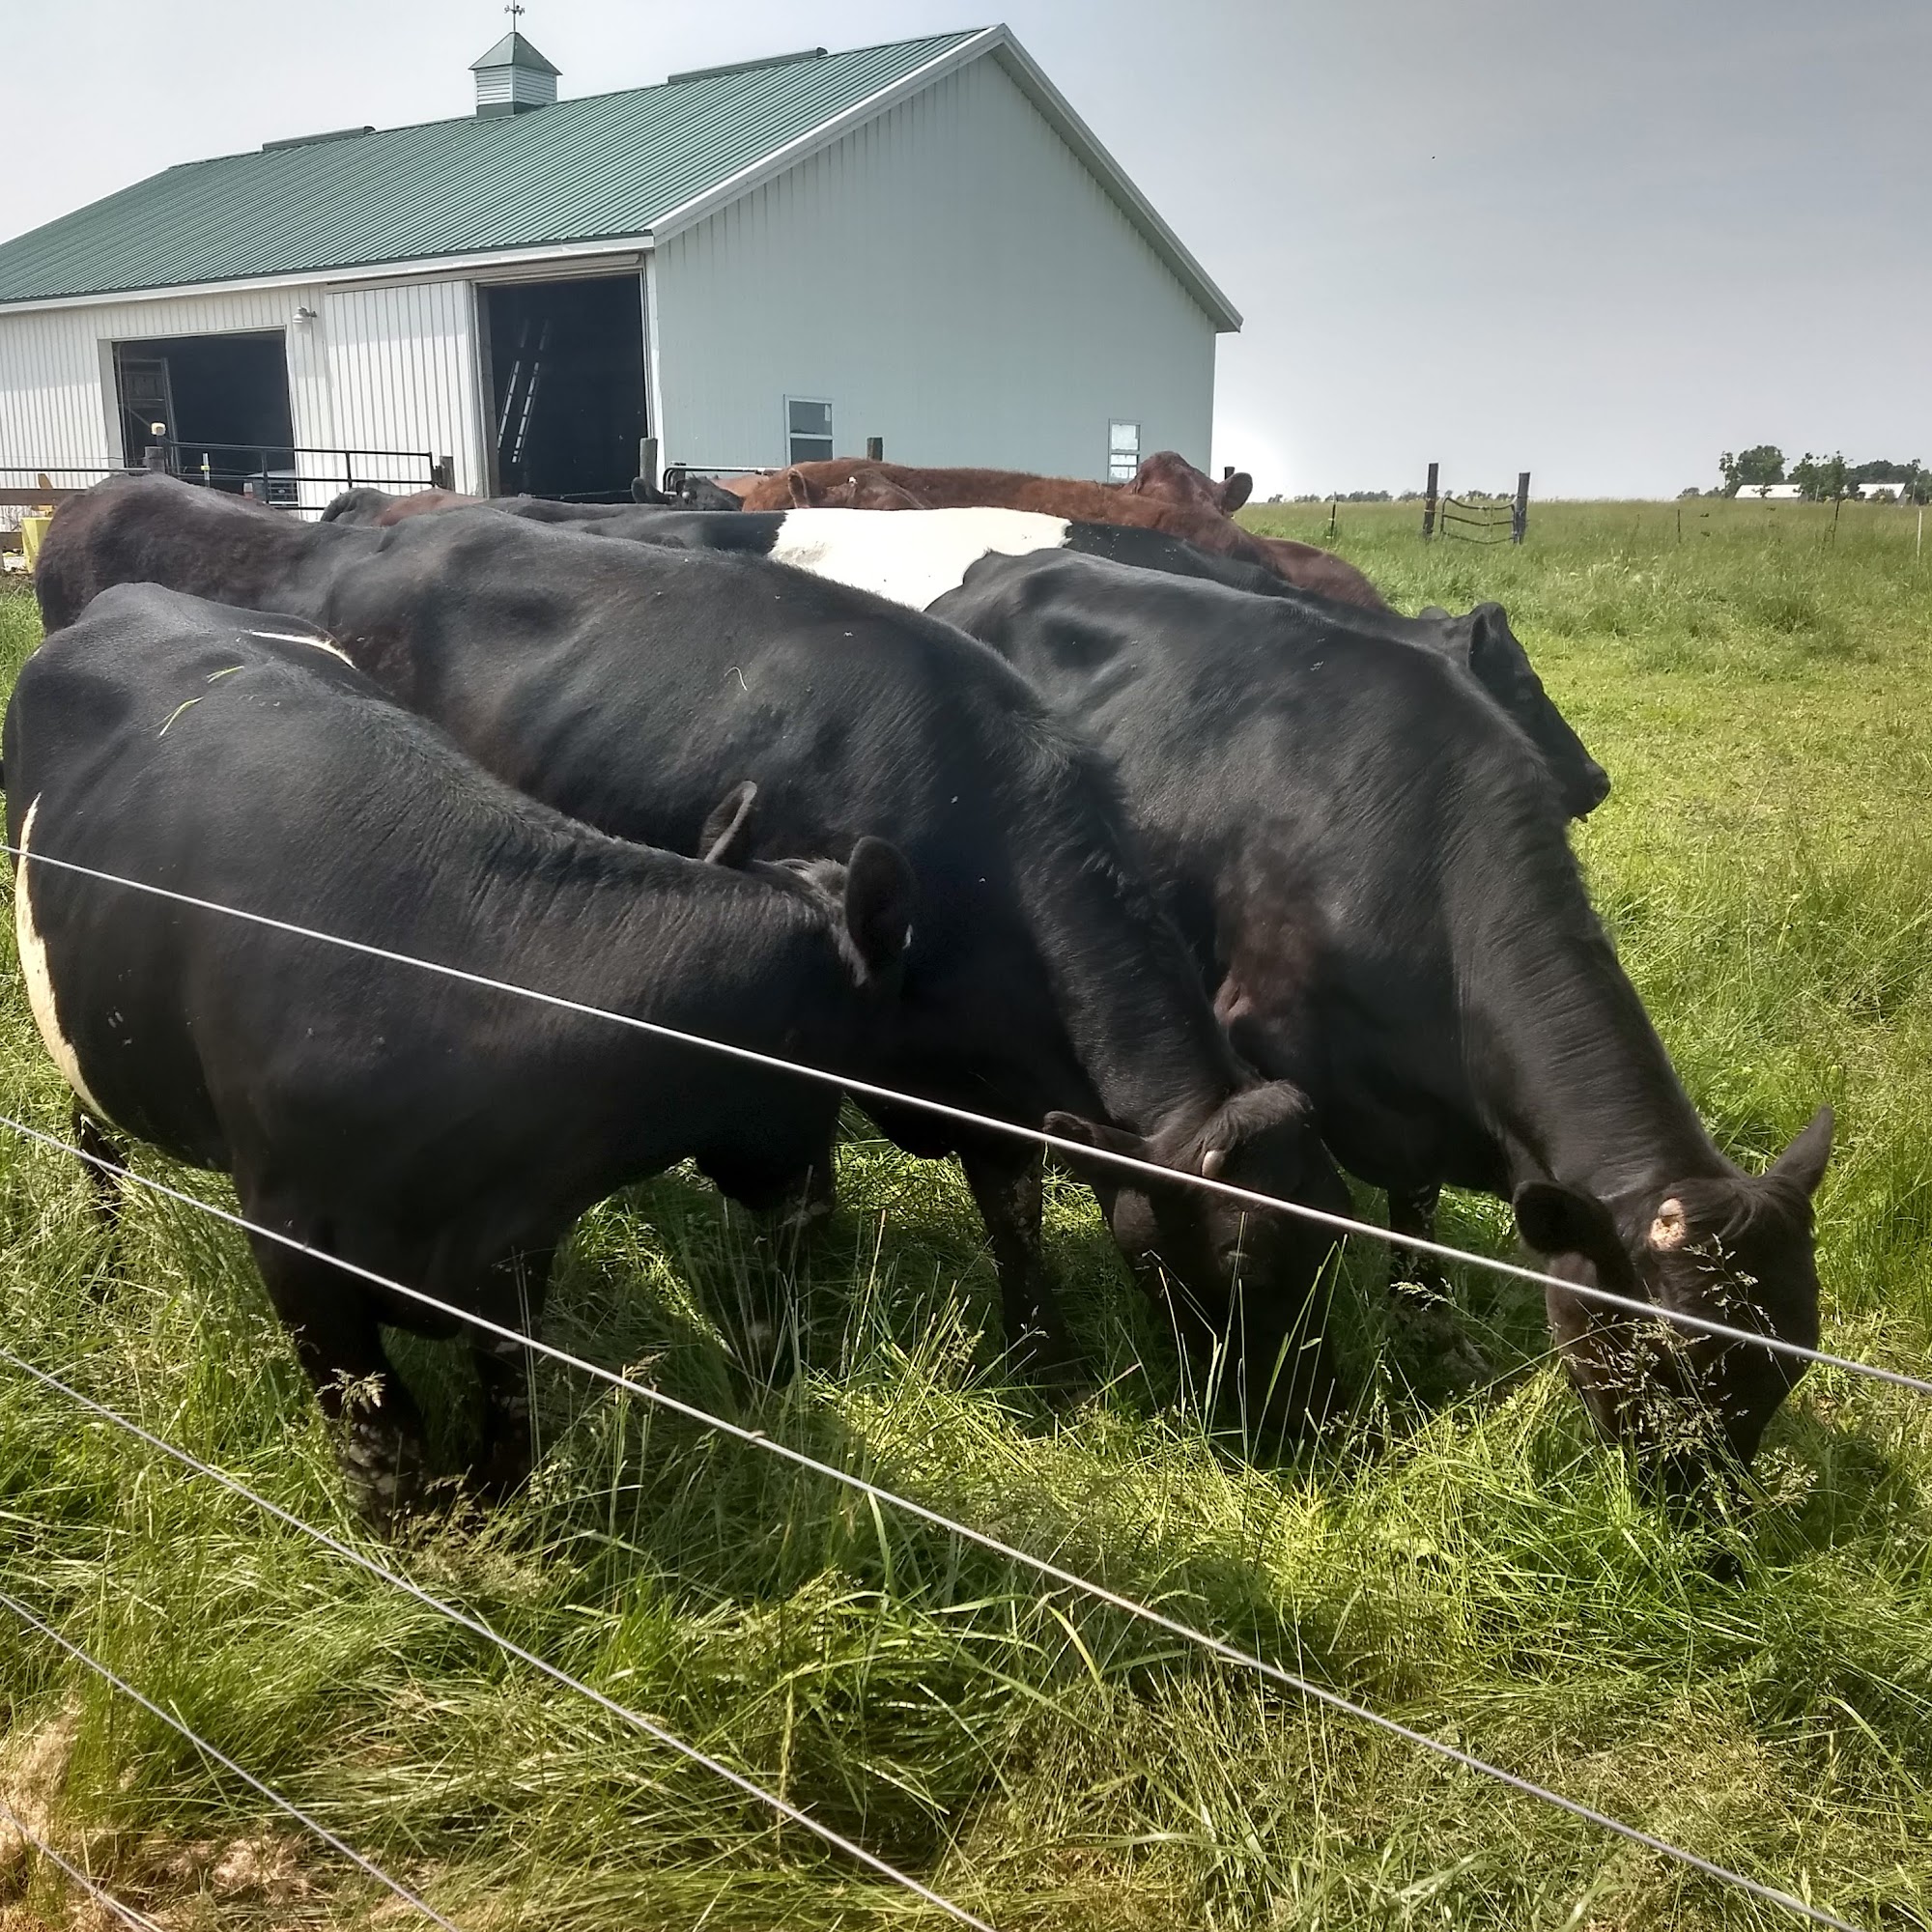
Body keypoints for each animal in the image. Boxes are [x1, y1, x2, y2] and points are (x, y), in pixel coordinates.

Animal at [5, 581, 916, 1512]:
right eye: (846, 1067)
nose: (818, 1206)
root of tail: (144, 594)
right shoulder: (294, 1247)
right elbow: (385, 1448)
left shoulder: (511, 1258)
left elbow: (513, 1432)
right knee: (93, 1142)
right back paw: (107, 1275)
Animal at [36, 474, 1355, 1437]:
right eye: (1238, 1266)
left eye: (1328, 1246)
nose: (1299, 1426)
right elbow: (822, 1206)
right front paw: (794, 1357)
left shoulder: (987, 1076)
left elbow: (1012, 1207)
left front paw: (1041, 1356)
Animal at [926, 549, 1832, 1484]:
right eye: (1666, 1359)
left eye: (1795, 1361)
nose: (1710, 1514)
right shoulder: (1266, 1045)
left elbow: (1416, 1205)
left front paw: (1430, 1324)